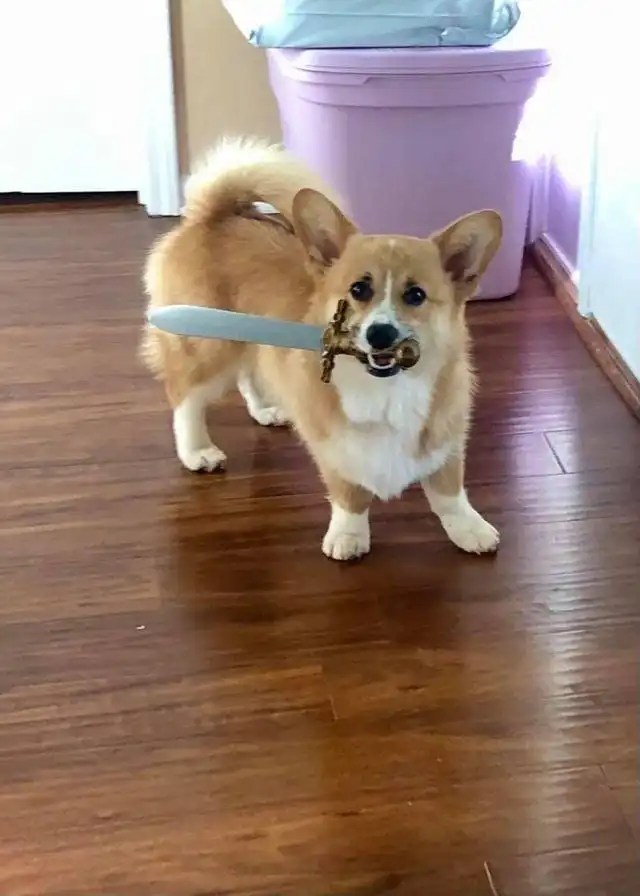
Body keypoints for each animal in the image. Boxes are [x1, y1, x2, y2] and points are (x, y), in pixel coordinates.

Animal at [140, 137, 503, 561]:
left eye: (416, 295)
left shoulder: (445, 437)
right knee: (185, 398)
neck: (387, 389)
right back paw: (196, 450)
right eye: (358, 289)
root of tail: (211, 215)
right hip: (209, 349)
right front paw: (349, 536)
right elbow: (349, 494)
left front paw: (469, 529)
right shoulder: (333, 444)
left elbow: (449, 490)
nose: (380, 334)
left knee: (249, 374)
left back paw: (264, 410)